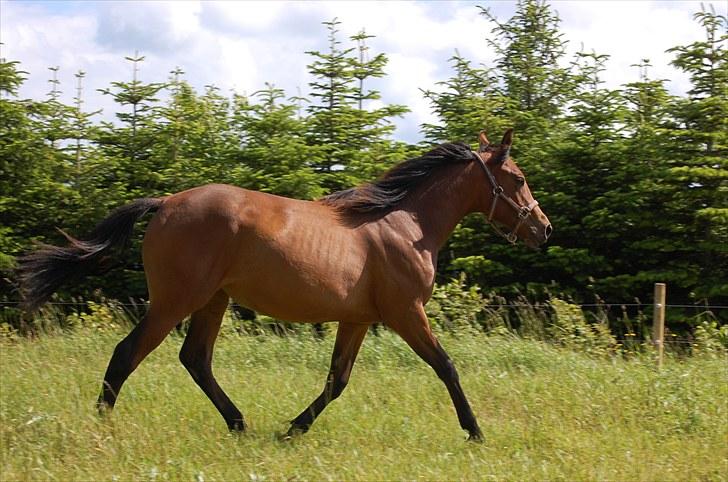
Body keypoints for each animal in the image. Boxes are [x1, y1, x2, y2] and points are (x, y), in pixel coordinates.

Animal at [17, 128, 552, 440]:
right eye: (518, 177)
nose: (544, 228)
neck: (406, 225)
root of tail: (166, 202)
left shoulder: (358, 320)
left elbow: (337, 381)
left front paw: (292, 430)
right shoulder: (406, 313)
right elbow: (447, 367)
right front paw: (476, 432)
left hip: (213, 300)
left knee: (195, 359)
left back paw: (240, 425)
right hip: (175, 300)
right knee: (127, 354)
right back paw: (102, 427)